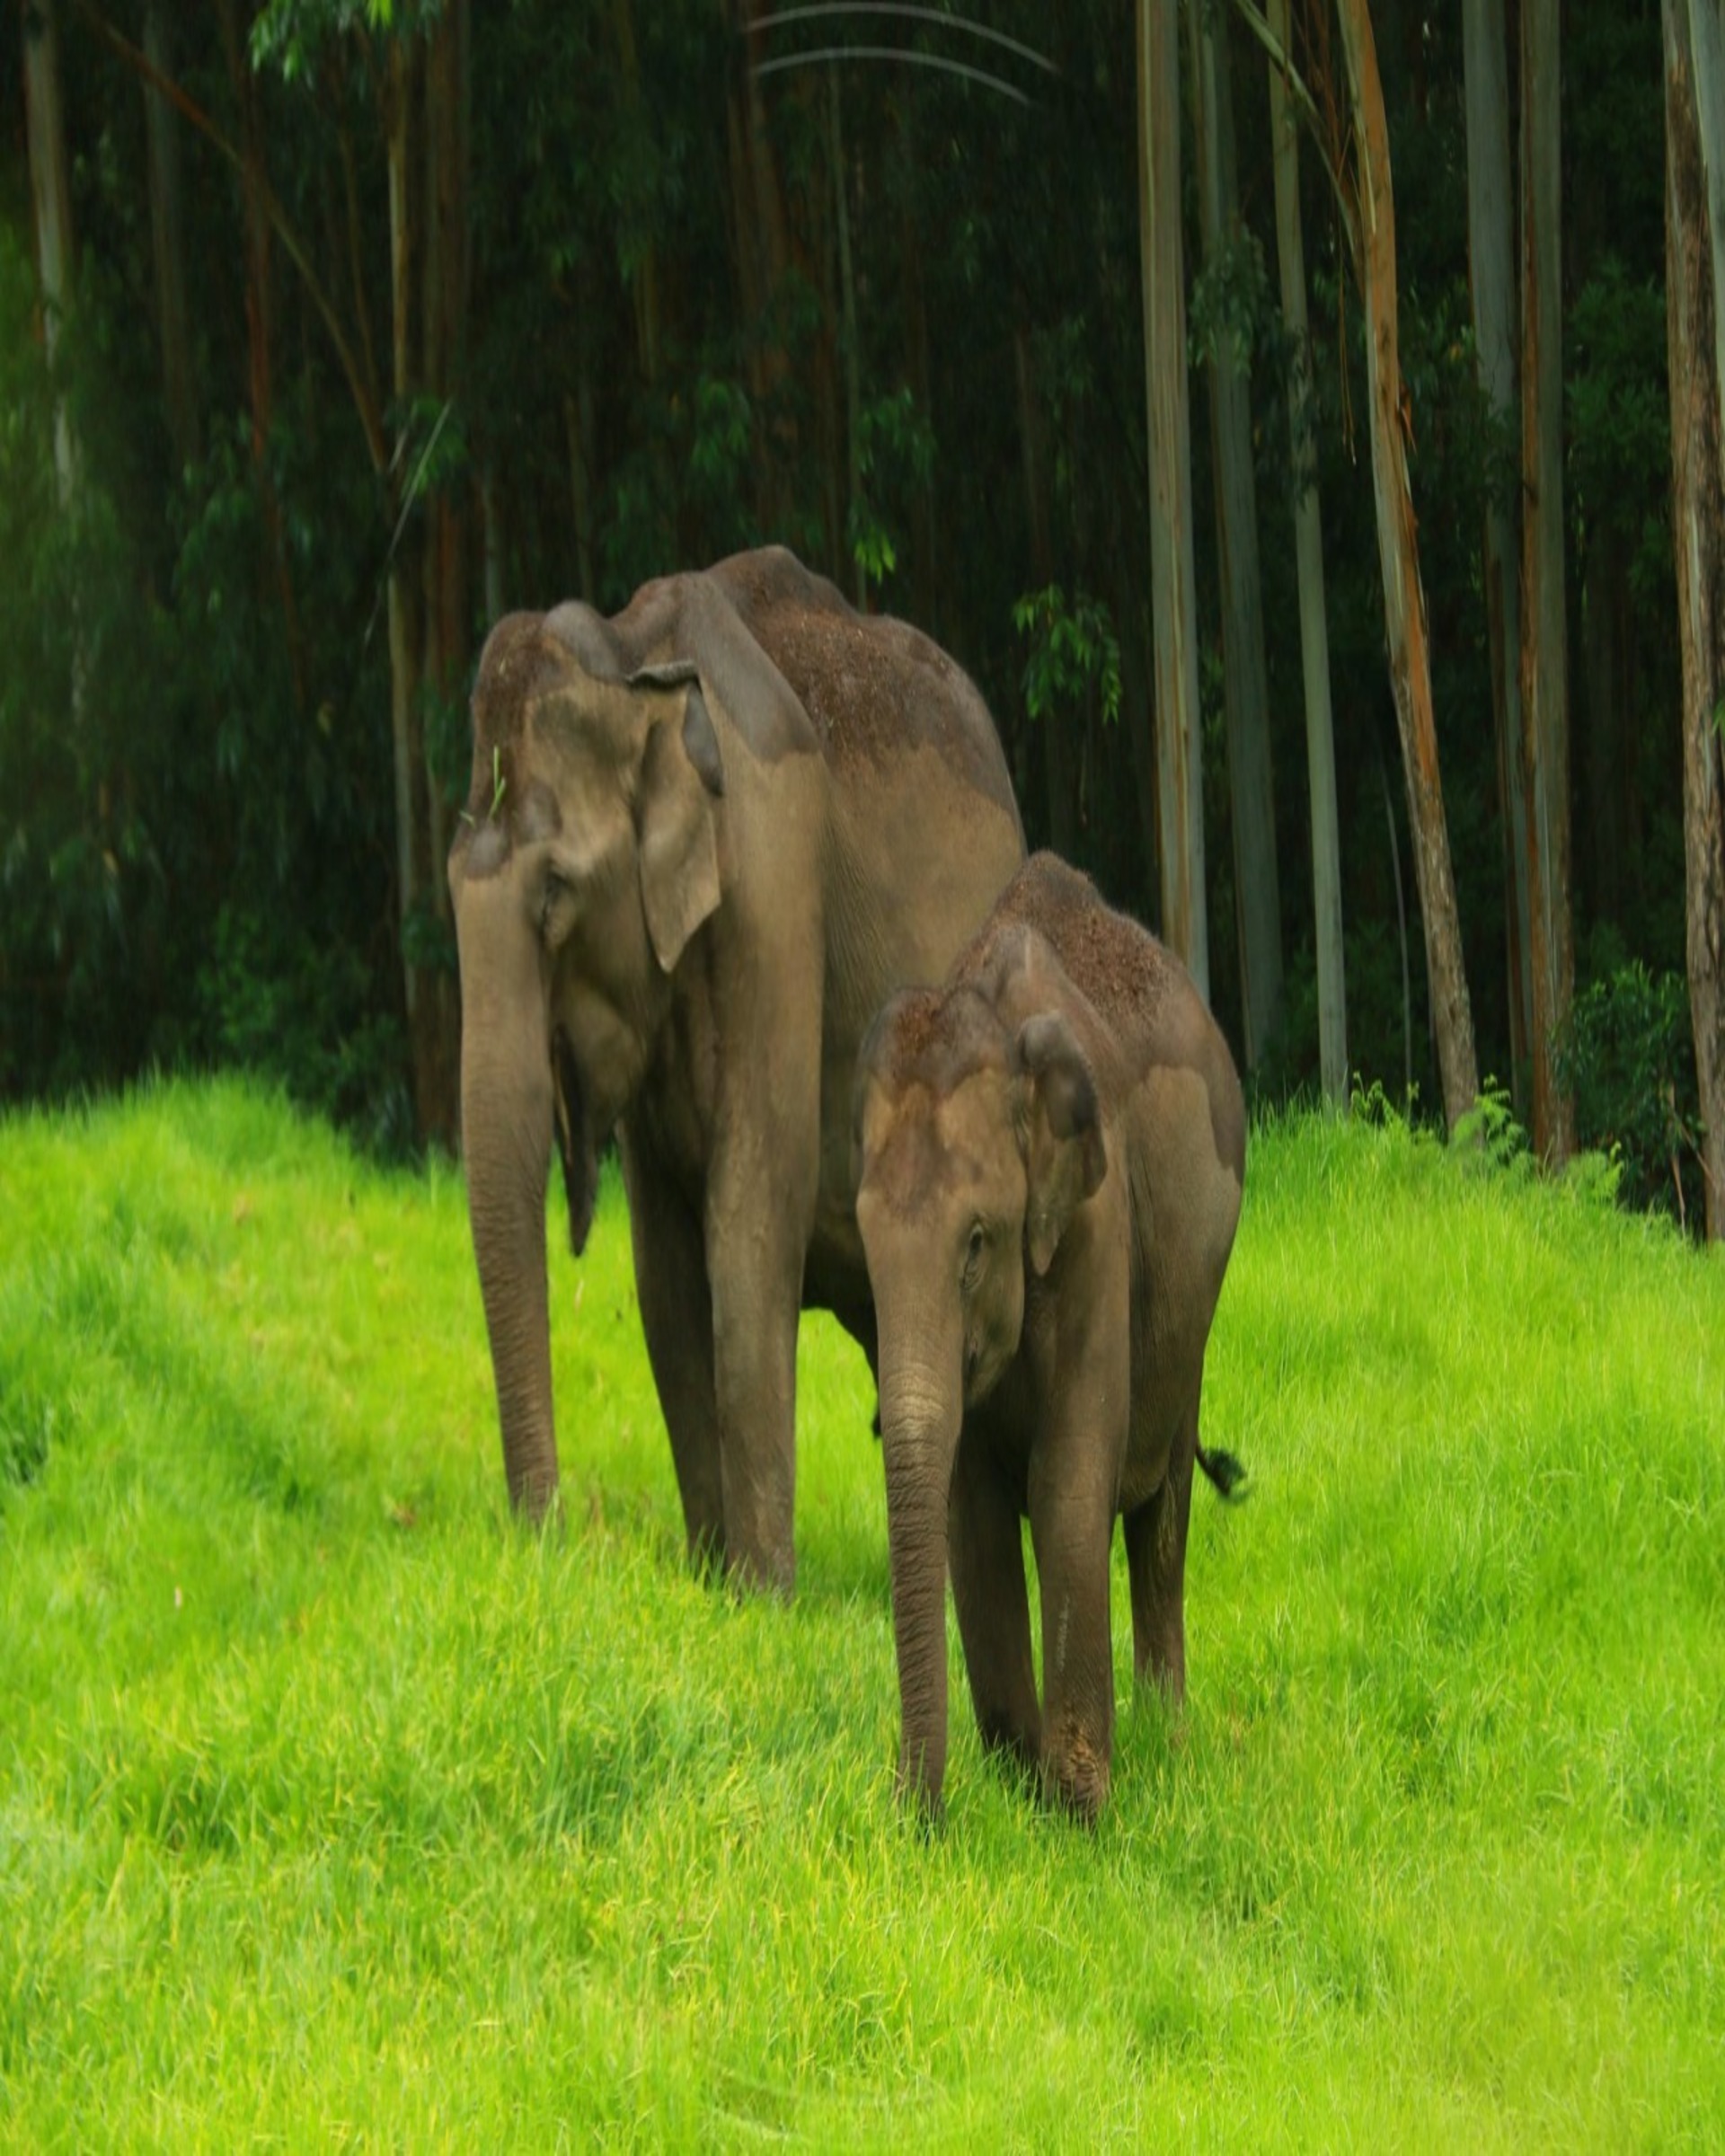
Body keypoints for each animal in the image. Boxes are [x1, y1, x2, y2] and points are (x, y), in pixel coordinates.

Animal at [450, 547, 1031, 1595]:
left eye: (554, 893)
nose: (550, 1536)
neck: (636, 655)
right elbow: (666, 1268)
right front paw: (712, 1580)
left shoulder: (774, 871)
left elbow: (748, 1215)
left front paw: (763, 1595)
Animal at [854, 853, 1251, 1819]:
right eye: (864, 1246)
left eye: (976, 1243)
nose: (912, 1813)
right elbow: (971, 1510)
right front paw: (1016, 1780)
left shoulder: (1098, 1222)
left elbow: (1069, 1477)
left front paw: (1078, 1815)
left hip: (1193, 1307)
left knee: (1162, 1513)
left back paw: (1167, 1739)